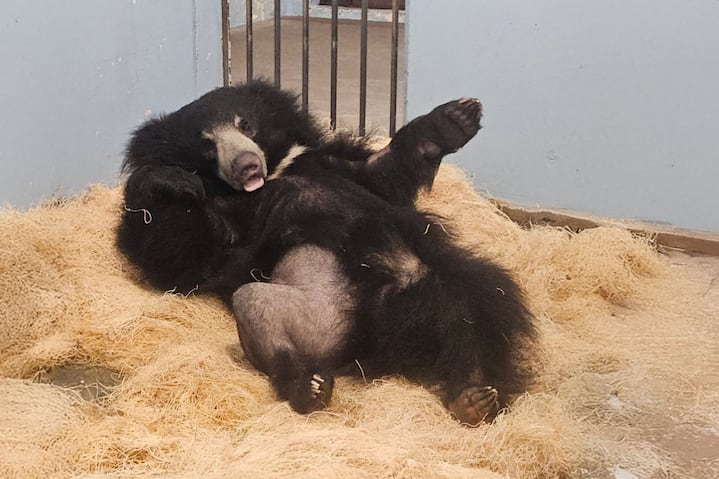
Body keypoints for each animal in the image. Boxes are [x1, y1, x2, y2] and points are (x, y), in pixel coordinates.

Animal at [117, 80, 535, 425]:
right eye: (207, 144)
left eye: (246, 125)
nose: (246, 164)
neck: (272, 178)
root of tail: (375, 346)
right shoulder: (227, 223)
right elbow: (179, 254)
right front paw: (169, 181)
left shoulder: (332, 165)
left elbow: (385, 171)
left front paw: (460, 114)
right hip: (320, 318)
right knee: (255, 303)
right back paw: (309, 387)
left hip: (441, 286)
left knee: (473, 321)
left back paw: (474, 398)